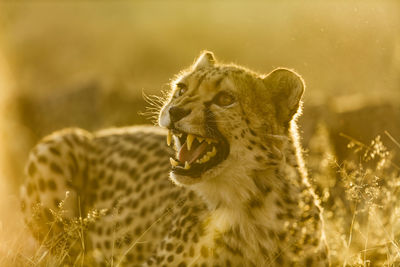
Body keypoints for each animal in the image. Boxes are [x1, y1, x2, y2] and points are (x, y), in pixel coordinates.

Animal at [20, 51, 330, 266]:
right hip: (56, 145)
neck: (250, 202)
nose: (175, 110)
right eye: (181, 89)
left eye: (225, 98)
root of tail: (99, 134)